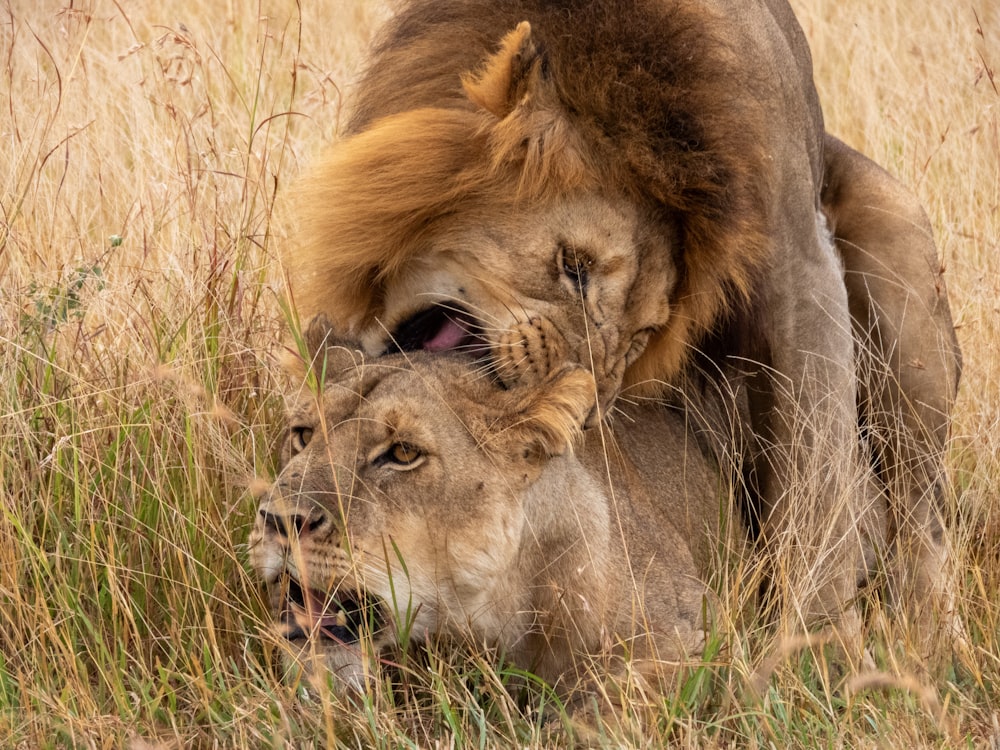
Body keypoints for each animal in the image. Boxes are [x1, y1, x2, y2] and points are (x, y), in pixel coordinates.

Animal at [282, 1, 960, 652]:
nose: (585, 412)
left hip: (901, 272)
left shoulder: (801, 264)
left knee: (920, 518)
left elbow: (817, 481)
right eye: (573, 267)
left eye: (641, 336)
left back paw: (922, 642)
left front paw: (820, 653)